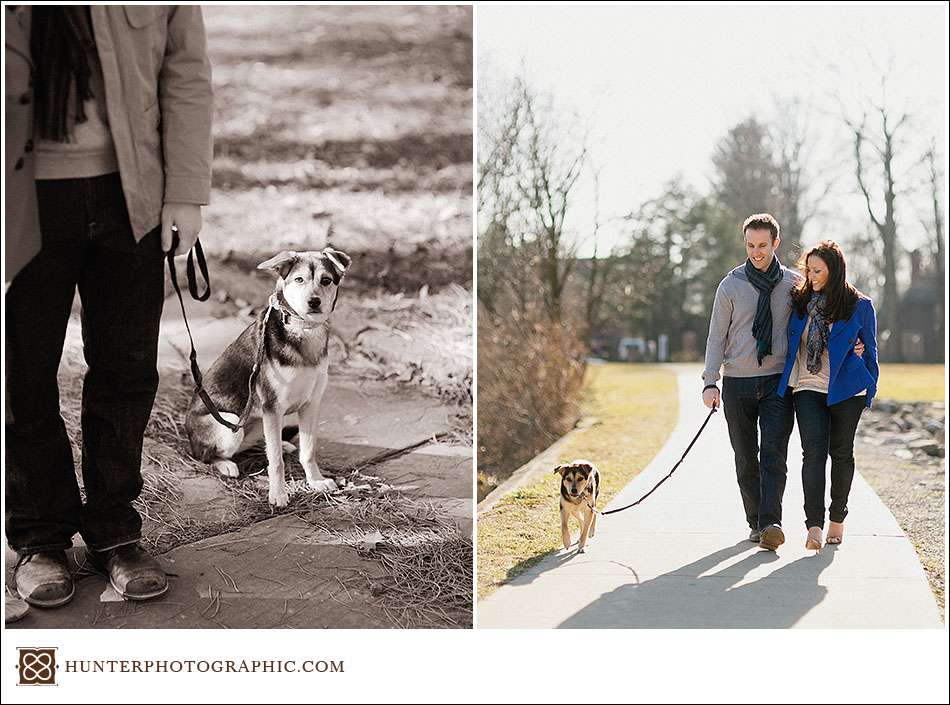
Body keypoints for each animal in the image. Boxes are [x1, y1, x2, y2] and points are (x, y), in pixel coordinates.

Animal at [186, 248, 350, 506]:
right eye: (299, 279)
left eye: (326, 280)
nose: (314, 301)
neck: (302, 328)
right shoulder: (272, 407)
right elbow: (275, 461)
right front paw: (278, 494)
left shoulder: (311, 404)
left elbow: (308, 450)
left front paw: (316, 481)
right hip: (229, 423)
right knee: (206, 455)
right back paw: (226, 465)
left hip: (256, 422)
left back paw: (283, 443)